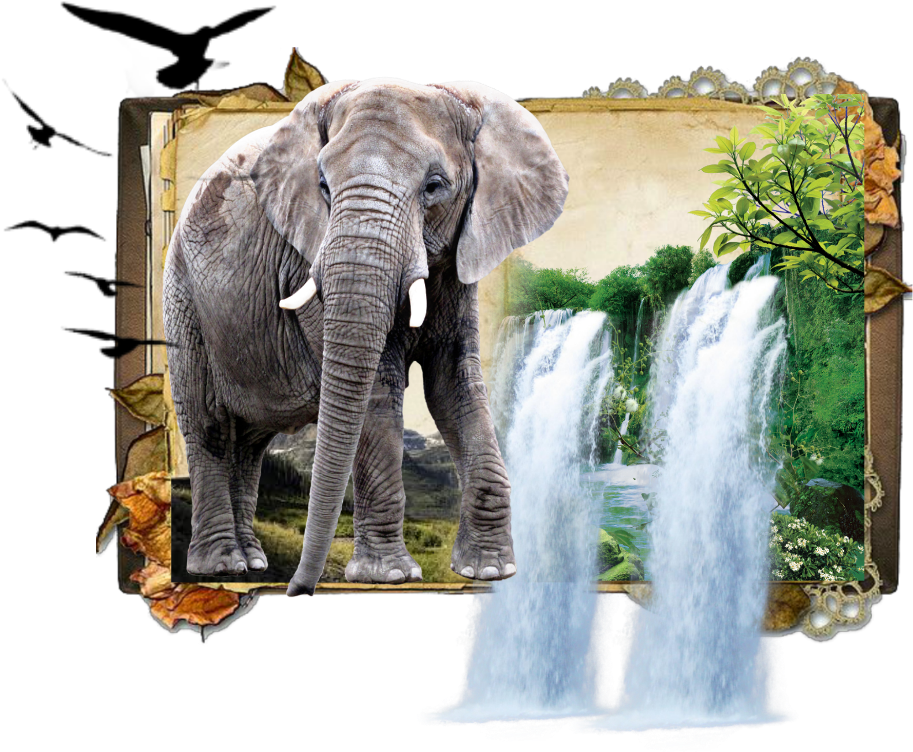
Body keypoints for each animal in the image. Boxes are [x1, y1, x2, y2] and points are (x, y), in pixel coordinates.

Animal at [162, 78, 569, 597]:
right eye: (323, 186)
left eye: (434, 187)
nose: (298, 590)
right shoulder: (305, 261)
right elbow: (377, 389)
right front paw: (389, 576)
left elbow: (454, 386)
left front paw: (490, 571)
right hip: (184, 298)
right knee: (210, 424)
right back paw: (222, 567)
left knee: (250, 444)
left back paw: (252, 561)